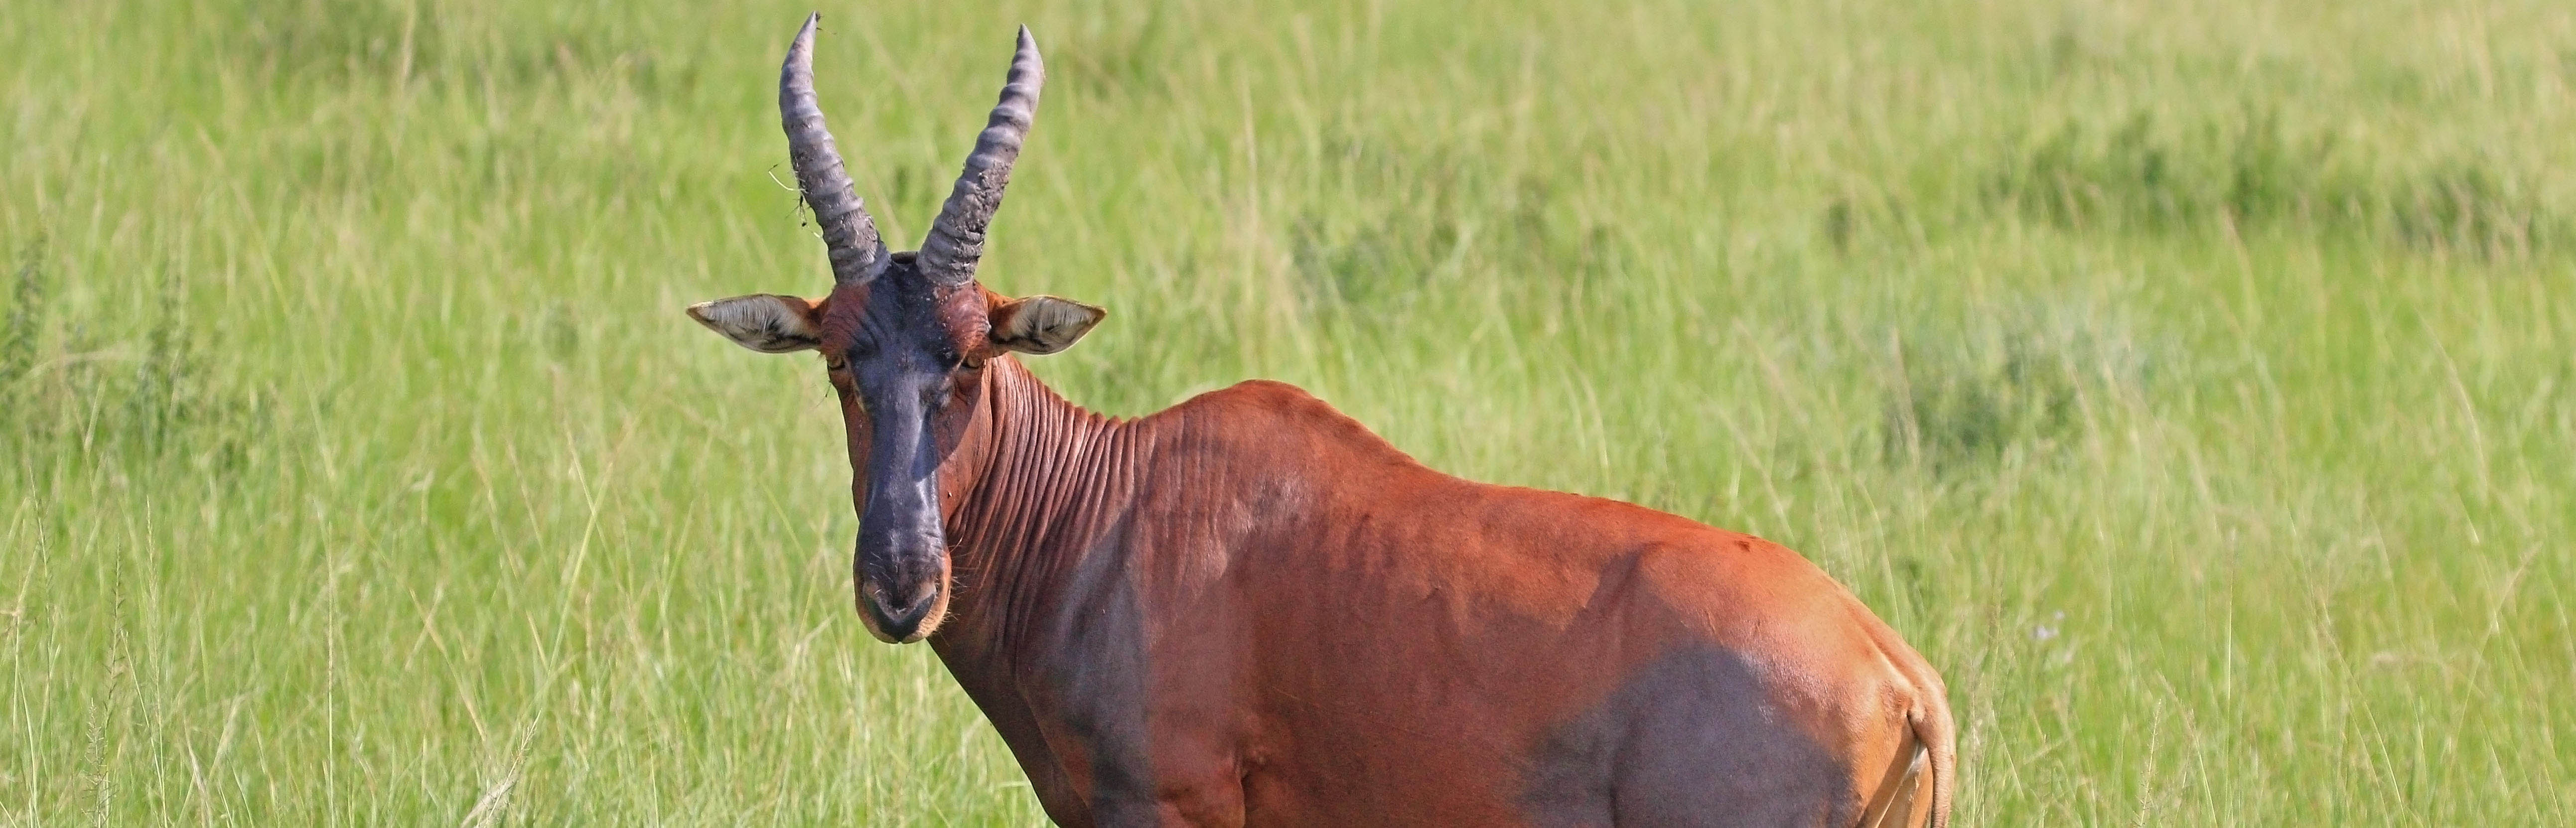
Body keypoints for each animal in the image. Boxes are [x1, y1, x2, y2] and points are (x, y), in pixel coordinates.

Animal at [685, 14, 1947, 825]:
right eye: (841, 360)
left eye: (970, 356)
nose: (902, 588)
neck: (1115, 506)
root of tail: (1894, 671)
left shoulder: (1176, 805)